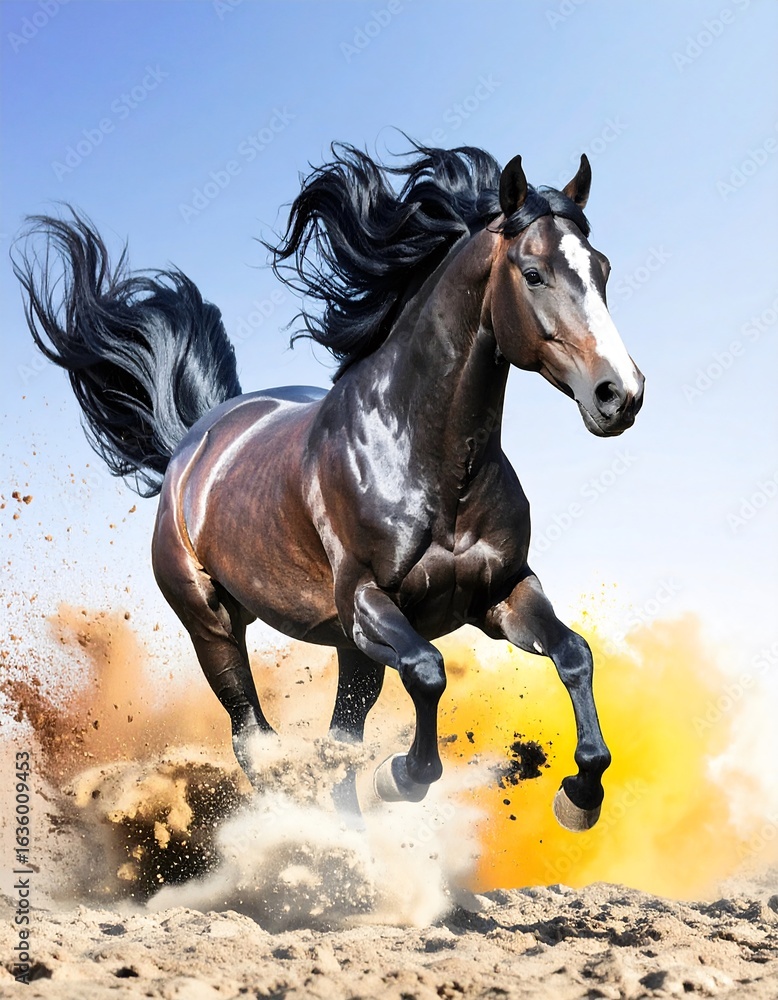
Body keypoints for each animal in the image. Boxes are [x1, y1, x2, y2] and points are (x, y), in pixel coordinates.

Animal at [13, 143, 644, 833]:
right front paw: (401, 776)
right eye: (533, 273)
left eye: (603, 269)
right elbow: (428, 672)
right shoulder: (367, 604)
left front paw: (580, 795)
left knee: (336, 742)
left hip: (351, 655)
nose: (619, 395)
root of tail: (194, 441)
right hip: (214, 626)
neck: (432, 463)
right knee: (254, 739)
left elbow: (574, 653)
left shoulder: (501, 592)